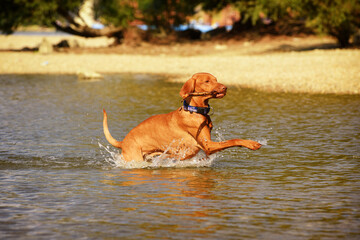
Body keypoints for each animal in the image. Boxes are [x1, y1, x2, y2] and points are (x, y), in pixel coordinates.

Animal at [102, 72, 260, 162]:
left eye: (216, 79)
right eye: (207, 81)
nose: (225, 88)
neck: (194, 111)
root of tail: (123, 141)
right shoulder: (208, 145)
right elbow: (234, 140)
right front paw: (251, 143)